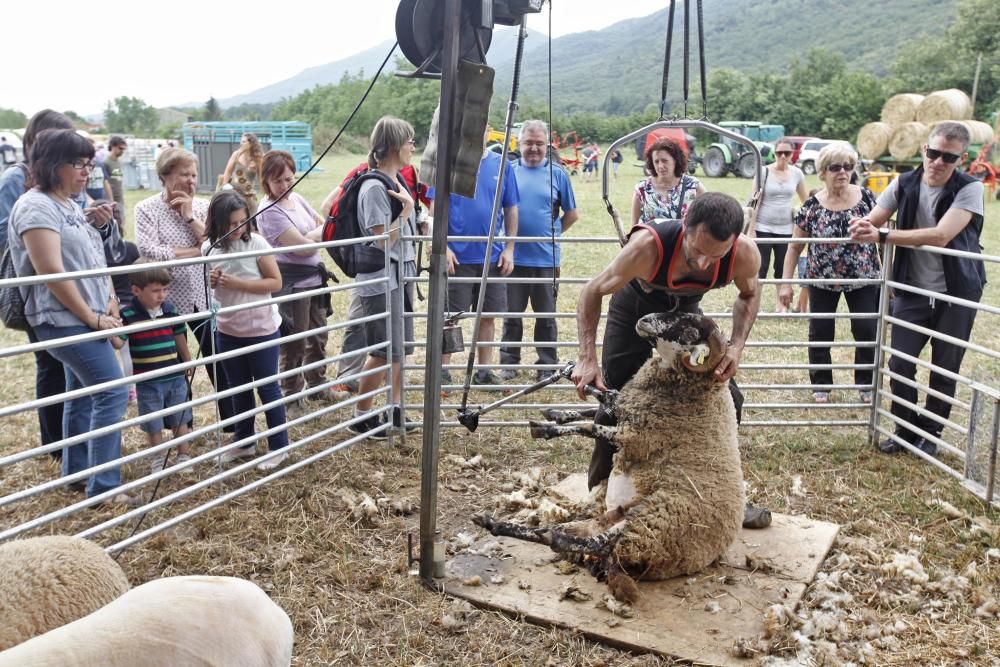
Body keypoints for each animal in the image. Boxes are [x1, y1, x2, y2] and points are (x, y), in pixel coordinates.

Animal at [474, 310, 744, 604]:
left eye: (688, 328)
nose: (644, 319)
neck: (699, 391)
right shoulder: (628, 412)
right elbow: (602, 400)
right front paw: (557, 412)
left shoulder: (638, 436)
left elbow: (593, 423)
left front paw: (546, 428)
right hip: (610, 521)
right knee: (579, 536)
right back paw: (494, 523)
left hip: (646, 529)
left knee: (587, 543)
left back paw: (542, 532)